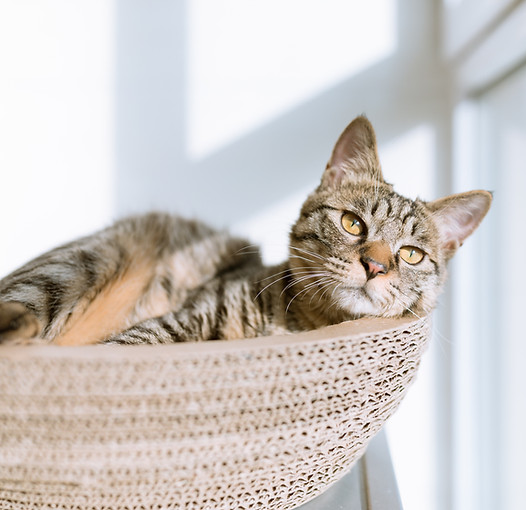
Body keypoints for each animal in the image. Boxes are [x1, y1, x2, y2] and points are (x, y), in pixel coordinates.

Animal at [0, 116, 496, 346]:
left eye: (411, 254)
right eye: (353, 223)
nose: (374, 265)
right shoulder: (179, 319)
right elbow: (131, 344)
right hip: (75, 267)